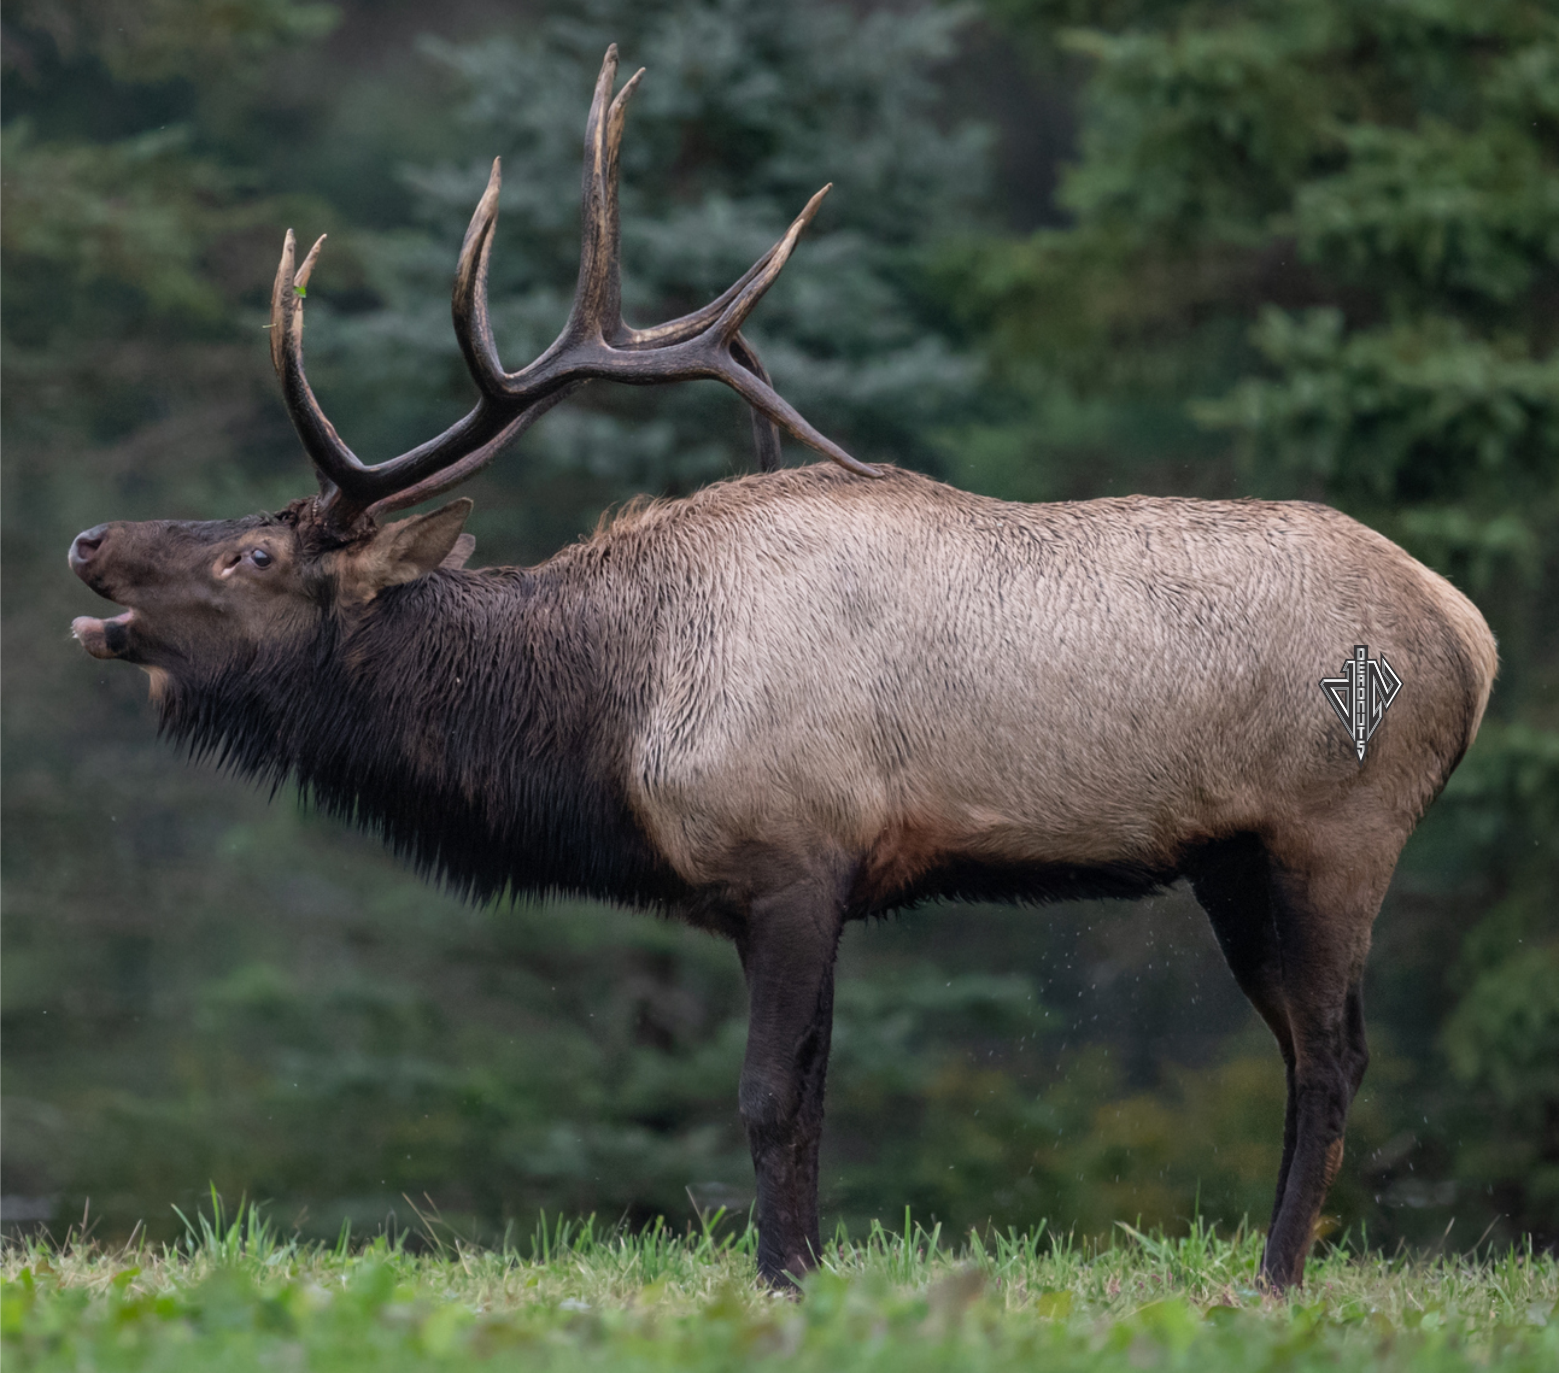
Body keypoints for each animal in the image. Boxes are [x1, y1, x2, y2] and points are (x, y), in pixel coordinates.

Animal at [70, 42, 1496, 1284]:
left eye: (254, 554)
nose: (90, 539)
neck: (616, 715)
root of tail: (1470, 634)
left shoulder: (794, 857)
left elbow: (766, 1095)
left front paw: (779, 1276)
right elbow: (811, 1091)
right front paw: (804, 1265)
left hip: (1334, 831)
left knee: (1331, 1054)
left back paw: (1273, 1276)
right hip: (1230, 861)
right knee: (1304, 1043)